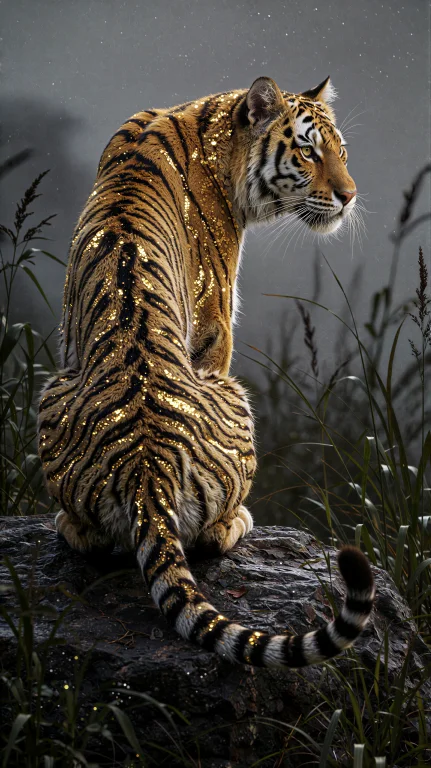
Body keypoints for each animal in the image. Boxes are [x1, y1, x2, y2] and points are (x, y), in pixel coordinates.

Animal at [38, 76, 375, 669]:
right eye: (309, 151)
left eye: (341, 151)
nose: (349, 196)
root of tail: (145, 470)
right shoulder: (216, 326)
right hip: (235, 395)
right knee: (207, 538)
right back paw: (238, 521)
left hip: (53, 389)